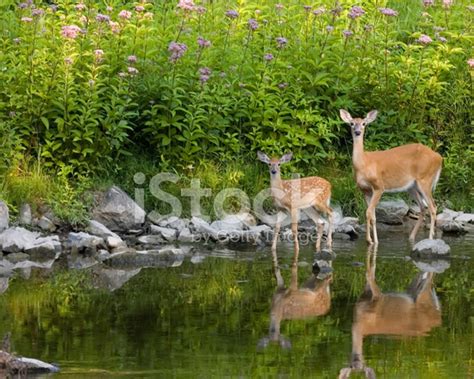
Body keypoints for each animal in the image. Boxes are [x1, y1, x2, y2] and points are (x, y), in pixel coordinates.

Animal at [336, 246, 440, 378]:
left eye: (362, 364)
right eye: (351, 365)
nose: (356, 360)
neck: (359, 323)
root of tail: (438, 319)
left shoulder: (377, 295)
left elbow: (369, 274)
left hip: (423, 296)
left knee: (429, 277)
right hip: (414, 289)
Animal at [338, 110, 442, 246]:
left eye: (364, 123)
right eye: (351, 123)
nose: (357, 132)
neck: (364, 163)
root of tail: (439, 158)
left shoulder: (379, 186)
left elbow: (368, 212)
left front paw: (369, 240)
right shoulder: (365, 190)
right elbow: (372, 215)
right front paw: (375, 241)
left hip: (425, 179)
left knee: (433, 207)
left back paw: (430, 239)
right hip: (412, 187)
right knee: (423, 207)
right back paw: (411, 238)